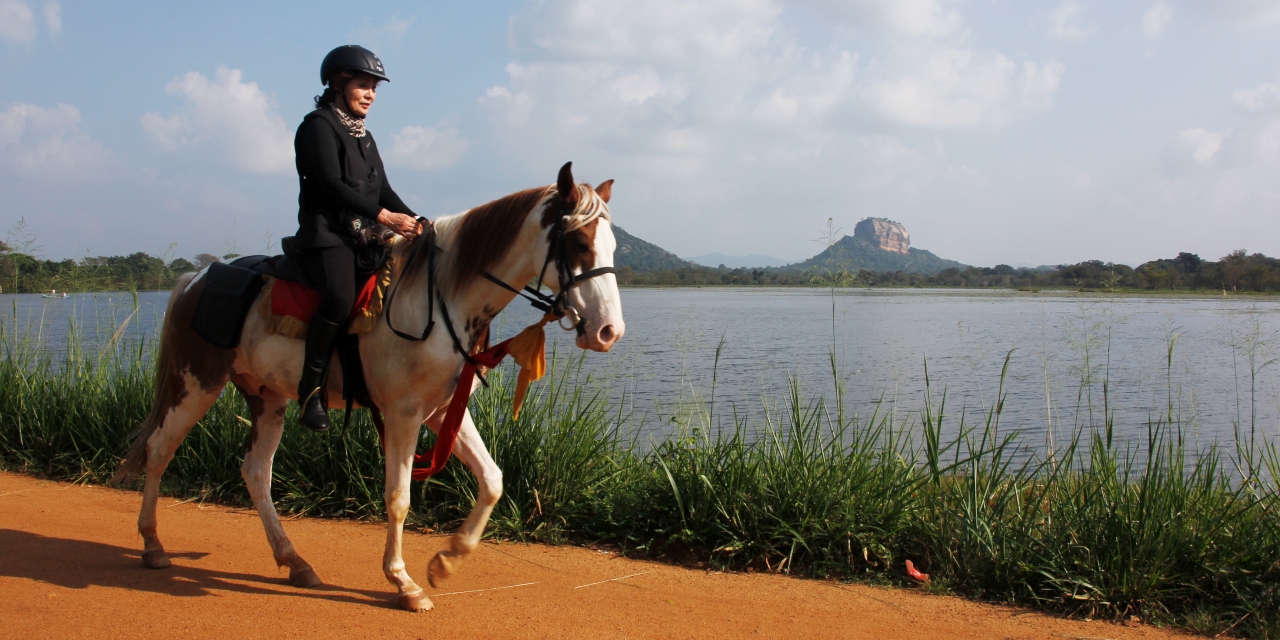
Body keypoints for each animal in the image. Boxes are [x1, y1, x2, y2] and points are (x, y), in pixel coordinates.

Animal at [115, 162, 624, 611]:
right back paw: (153, 544)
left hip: (267, 398)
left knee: (256, 472)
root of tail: (194, 279)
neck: (442, 297)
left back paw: (294, 562)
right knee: (160, 451)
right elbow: (398, 499)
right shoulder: (403, 413)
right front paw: (404, 583)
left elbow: (493, 481)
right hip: (196, 383)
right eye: (579, 241)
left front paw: (447, 560)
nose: (608, 331)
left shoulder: (442, 411)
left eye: (613, 246)